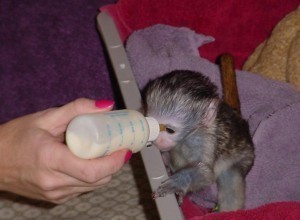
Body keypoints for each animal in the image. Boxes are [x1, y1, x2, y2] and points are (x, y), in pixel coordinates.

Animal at [142, 70, 254, 211]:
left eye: (169, 130)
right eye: (152, 124)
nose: (157, 140)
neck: (185, 138)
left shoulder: (204, 140)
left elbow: (205, 172)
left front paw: (177, 183)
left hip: (244, 158)